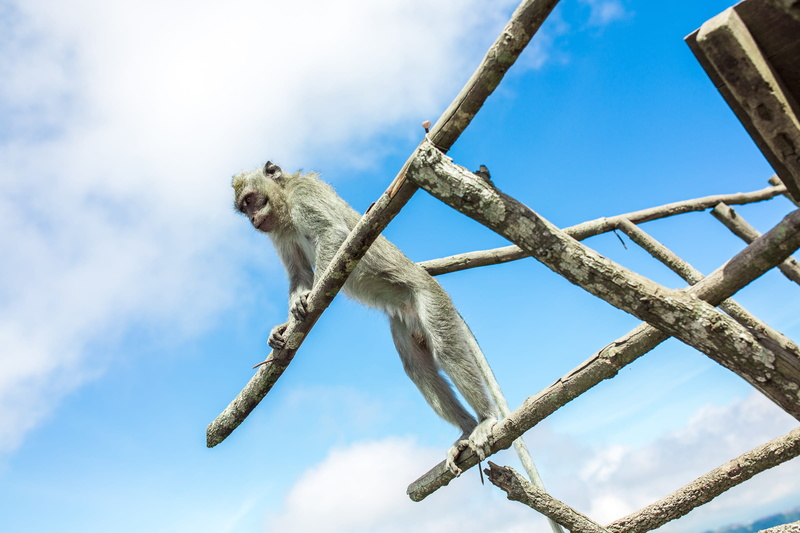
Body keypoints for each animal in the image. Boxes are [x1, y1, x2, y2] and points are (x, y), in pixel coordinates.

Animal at [232, 161, 498, 475]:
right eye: (243, 207)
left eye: (250, 200)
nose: (251, 219)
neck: (284, 200)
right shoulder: (279, 233)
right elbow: (299, 272)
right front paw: (286, 323)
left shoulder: (304, 195)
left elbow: (332, 234)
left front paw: (313, 300)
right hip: (404, 321)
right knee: (418, 370)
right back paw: (466, 429)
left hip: (429, 298)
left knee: (446, 350)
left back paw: (485, 419)